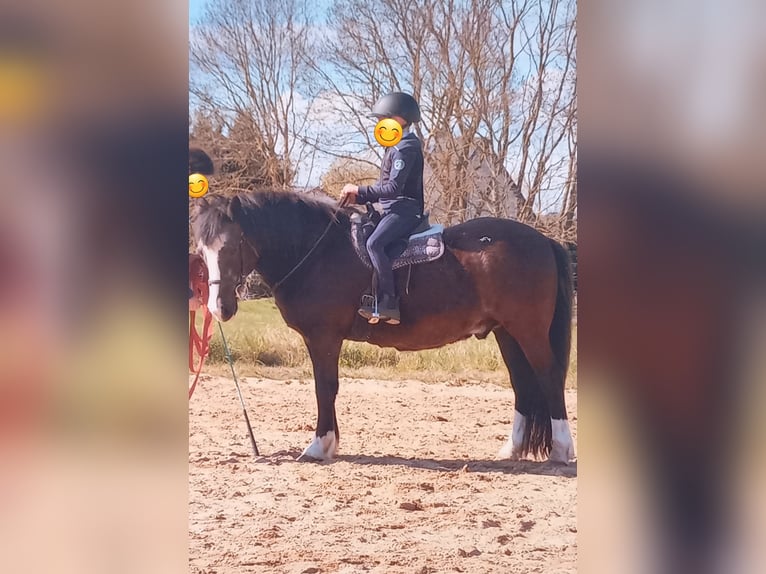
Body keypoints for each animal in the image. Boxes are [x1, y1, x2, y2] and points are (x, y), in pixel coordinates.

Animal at [191, 189, 575, 463]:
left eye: (234, 244)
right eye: (202, 250)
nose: (219, 308)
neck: (316, 250)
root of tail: (544, 240)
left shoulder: (323, 338)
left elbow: (324, 388)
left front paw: (318, 446)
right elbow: (327, 388)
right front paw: (329, 445)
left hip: (528, 331)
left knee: (549, 377)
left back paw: (561, 450)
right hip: (506, 332)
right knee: (522, 384)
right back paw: (512, 450)